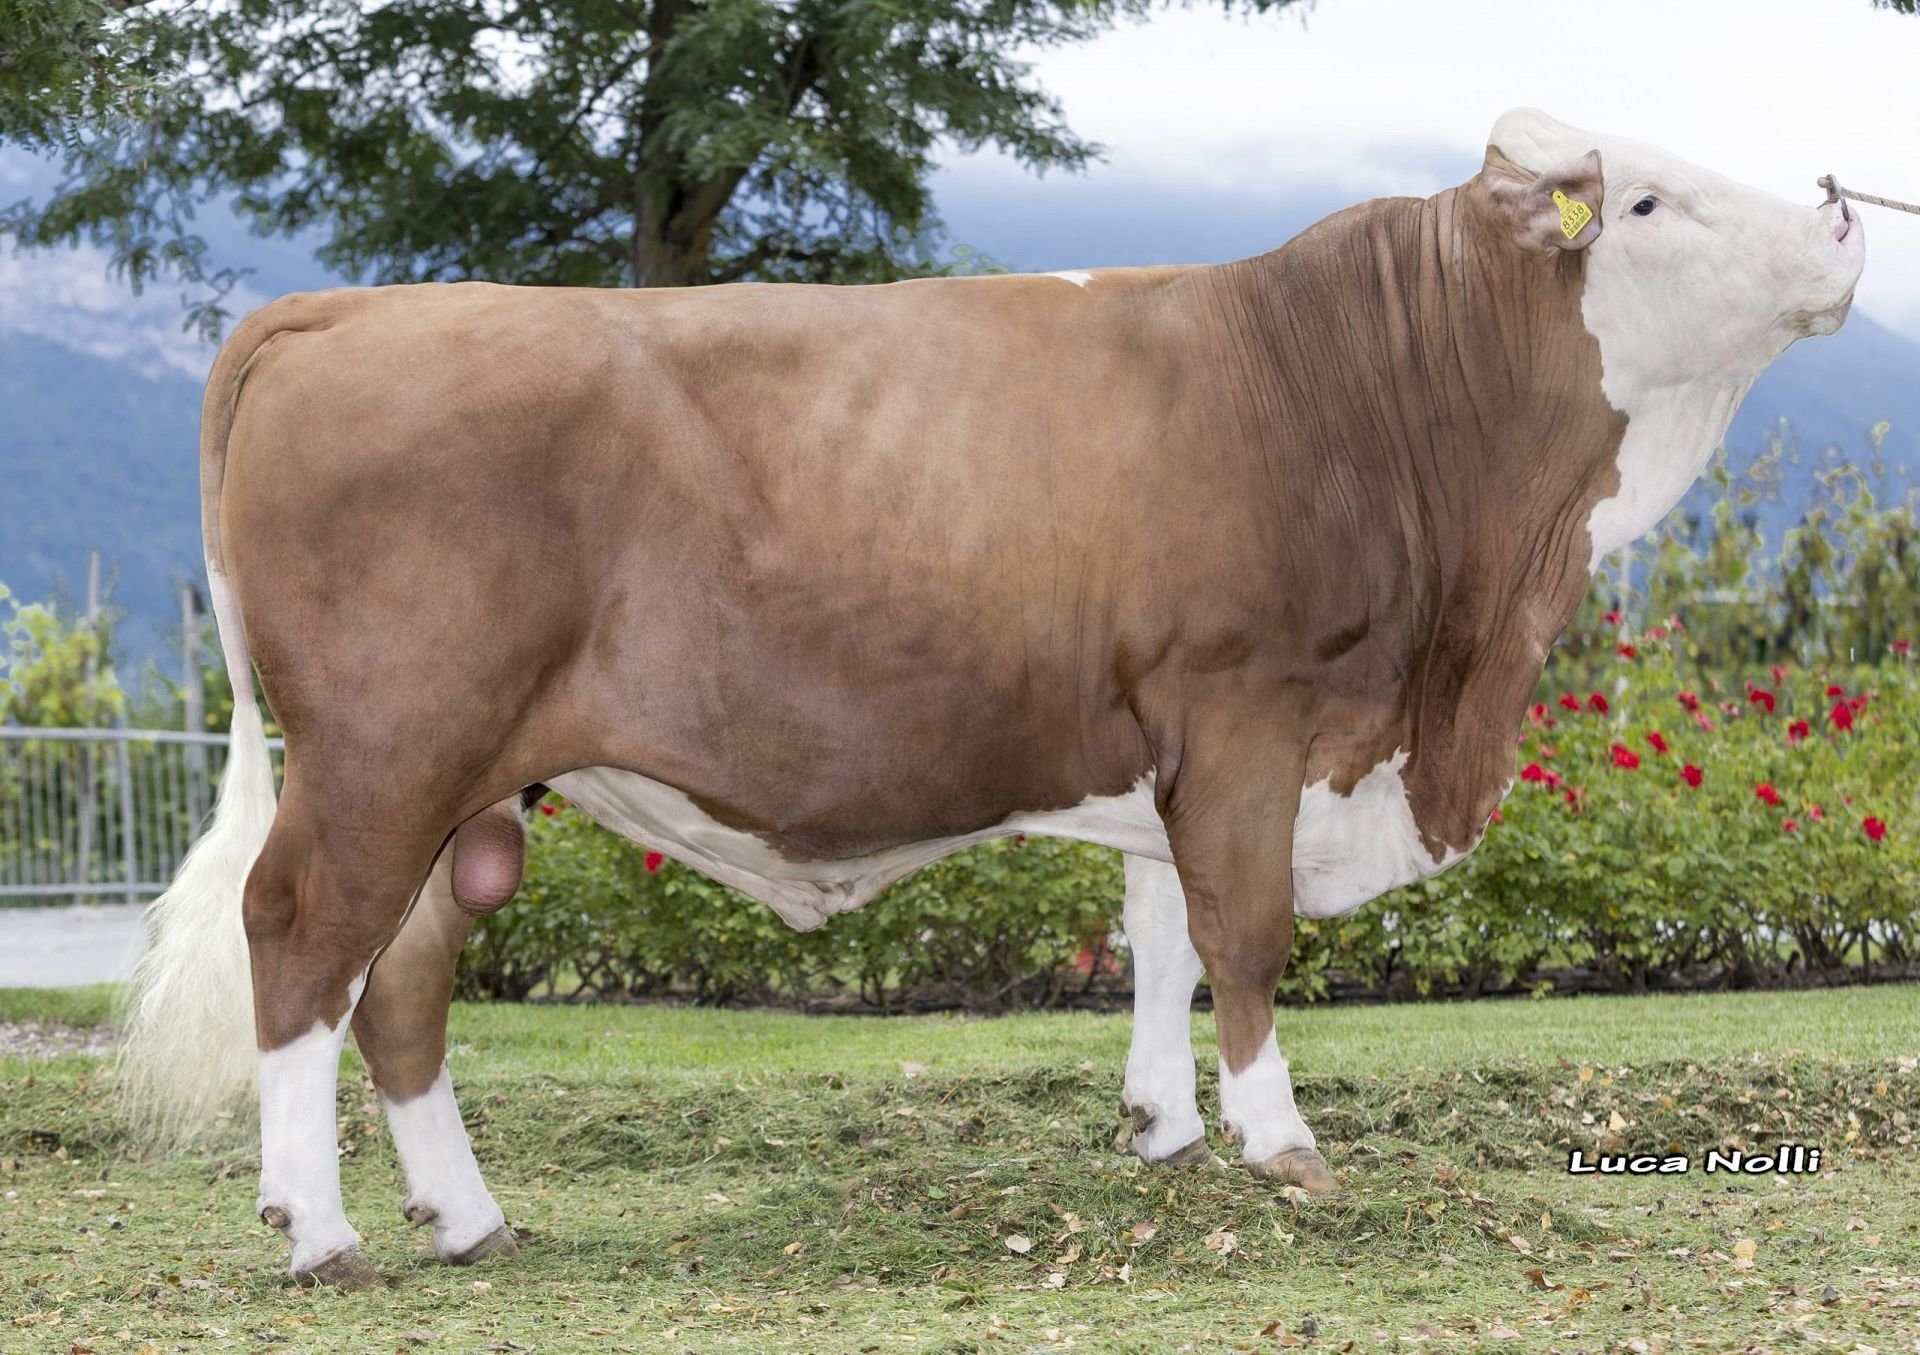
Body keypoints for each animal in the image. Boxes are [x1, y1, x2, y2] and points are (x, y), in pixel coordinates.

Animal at [120, 110, 1858, 1282]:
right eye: (1651, 198)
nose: (1849, 211)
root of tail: (351, 306)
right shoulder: (1247, 702)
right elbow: (1244, 929)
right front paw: (1282, 1146)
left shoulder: (1174, 737)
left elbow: (1164, 929)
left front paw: (1167, 1133)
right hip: (385, 748)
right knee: (303, 937)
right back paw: (320, 1227)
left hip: (469, 780)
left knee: (402, 975)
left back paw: (468, 1216)